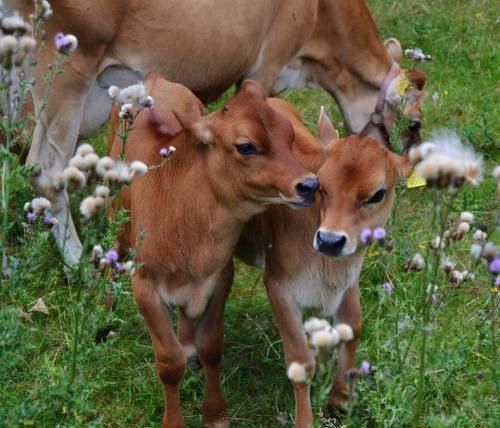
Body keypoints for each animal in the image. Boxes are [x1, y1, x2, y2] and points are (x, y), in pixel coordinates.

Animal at [4, 0, 426, 260]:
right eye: (415, 122)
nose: (409, 169)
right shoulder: (265, 68)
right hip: (68, 64)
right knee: (45, 170)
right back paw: (77, 261)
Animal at [111, 75, 318, 426]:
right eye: (246, 145)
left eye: (288, 133)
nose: (310, 185)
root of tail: (155, 78)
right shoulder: (145, 287)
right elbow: (169, 363)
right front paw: (174, 421)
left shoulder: (219, 275)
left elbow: (211, 346)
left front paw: (215, 413)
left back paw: (186, 341)